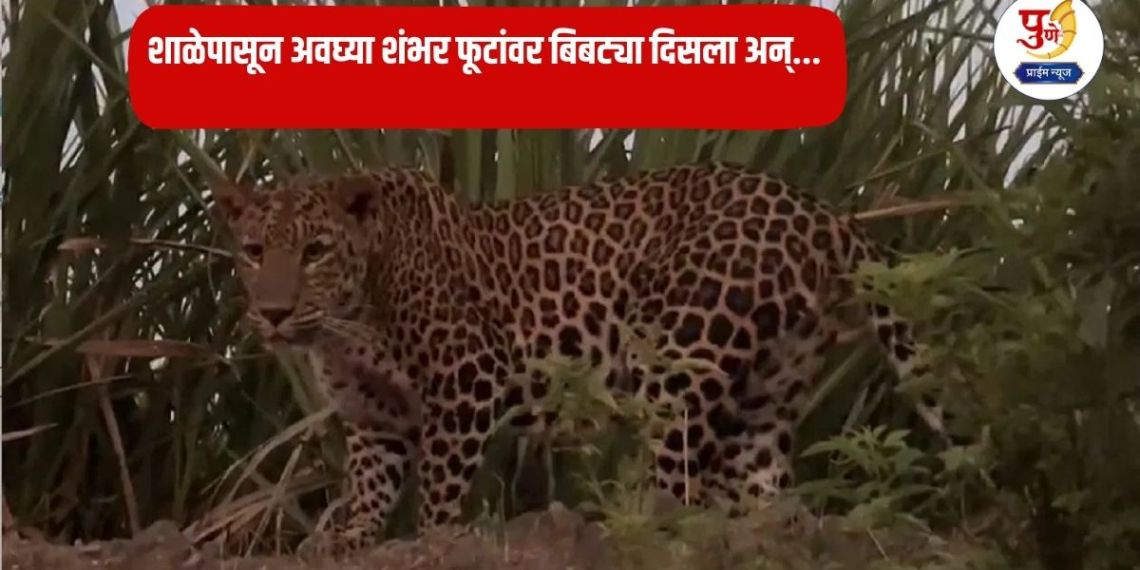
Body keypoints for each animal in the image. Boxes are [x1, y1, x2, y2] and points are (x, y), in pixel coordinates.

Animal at [210, 161, 939, 555]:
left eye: (315, 252)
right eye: (253, 251)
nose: (273, 313)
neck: (349, 321)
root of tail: (821, 211)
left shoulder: (467, 381)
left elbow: (441, 493)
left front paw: (434, 543)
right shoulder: (374, 417)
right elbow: (366, 490)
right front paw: (346, 541)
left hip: (680, 360)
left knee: (674, 489)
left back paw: (623, 530)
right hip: (763, 398)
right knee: (756, 495)